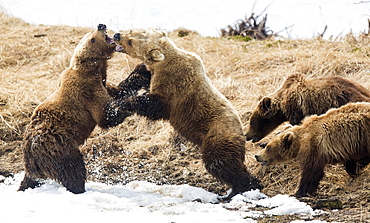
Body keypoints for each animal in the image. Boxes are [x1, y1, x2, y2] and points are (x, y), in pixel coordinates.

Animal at [18, 23, 118, 193]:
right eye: (92, 39)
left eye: (90, 34)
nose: (101, 25)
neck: (94, 69)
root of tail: (29, 150)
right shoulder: (87, 90)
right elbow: (105, 114)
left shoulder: (102, 82)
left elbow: (117, 90)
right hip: (58, 146)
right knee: (73, 168)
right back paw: (78, 188)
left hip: (36, 162)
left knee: (30, 179)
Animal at [106, 28, 264, 199]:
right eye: (131, 30)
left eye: (130, 41)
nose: (117, 35)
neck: (163, 62)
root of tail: (243, 132)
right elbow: (143, 76)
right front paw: (132, 79)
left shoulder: (174, 85)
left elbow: (156, 105)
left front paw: (121, 103)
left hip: (218, 137)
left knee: (221, 164)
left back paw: (240, 189)